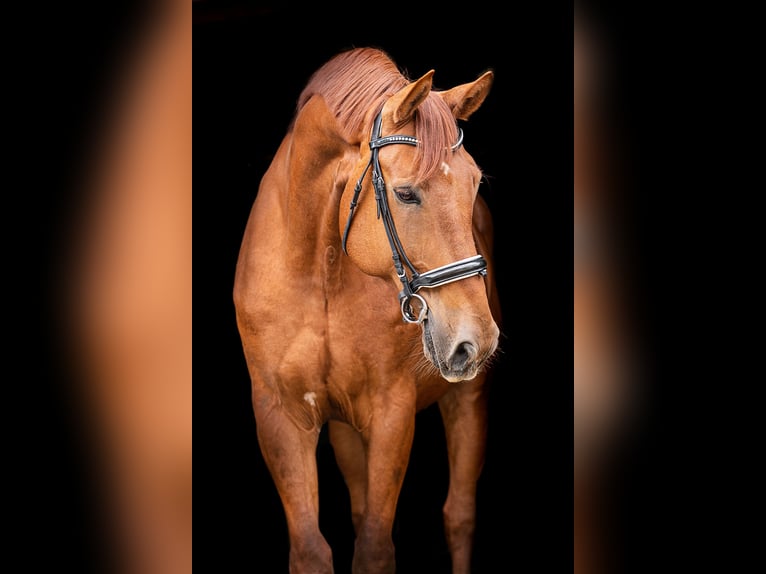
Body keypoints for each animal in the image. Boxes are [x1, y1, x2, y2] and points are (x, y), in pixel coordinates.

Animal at [234, 47, 504, 572]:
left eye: (475, 183)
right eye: (405, 192)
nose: (476, 341)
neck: (318, 273)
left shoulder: (391, 412)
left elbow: (376, 547)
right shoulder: (280, 416)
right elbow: (311, 549)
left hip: (468, 398)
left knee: (459, 517)